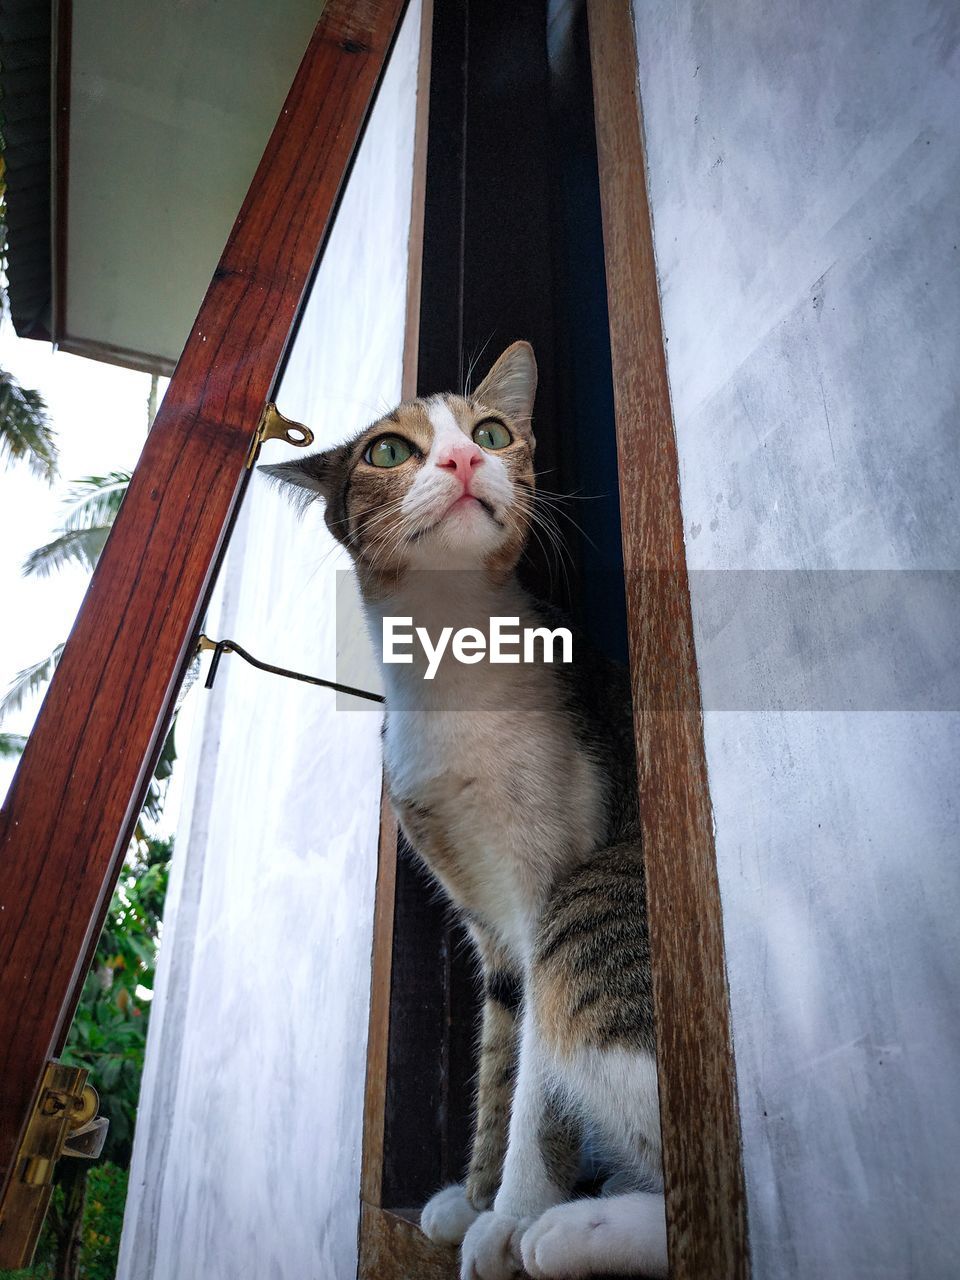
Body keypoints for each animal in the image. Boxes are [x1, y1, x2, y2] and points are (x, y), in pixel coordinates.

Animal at [263, 343, 670, 1280]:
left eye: (490, 432)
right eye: (387, 452)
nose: (458, 460)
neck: (454, 658)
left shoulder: (543, 879)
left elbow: (538, 1088)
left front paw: (509, 1216)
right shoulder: (486, 921)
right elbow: (500, 1056)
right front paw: (474, 1200)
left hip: (587, 912)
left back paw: (571, 1230)